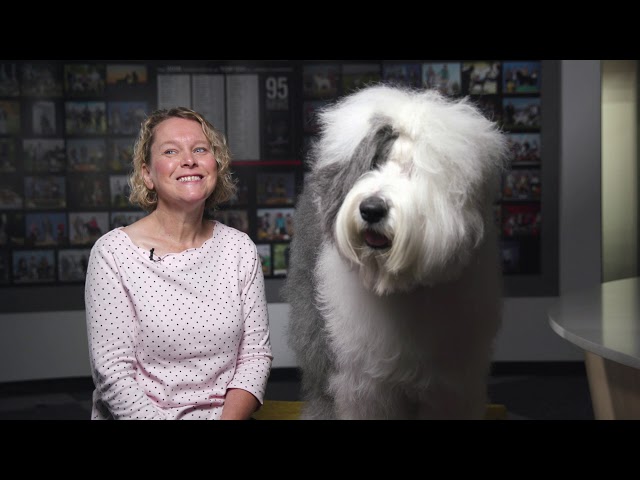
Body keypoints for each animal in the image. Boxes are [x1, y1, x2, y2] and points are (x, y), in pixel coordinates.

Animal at [282, 84, 508, 418]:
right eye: (373, 163)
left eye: (413, 169)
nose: (371, 209)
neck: (401, 286)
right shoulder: (366, 381)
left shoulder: (452, 381)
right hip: (314, 325)